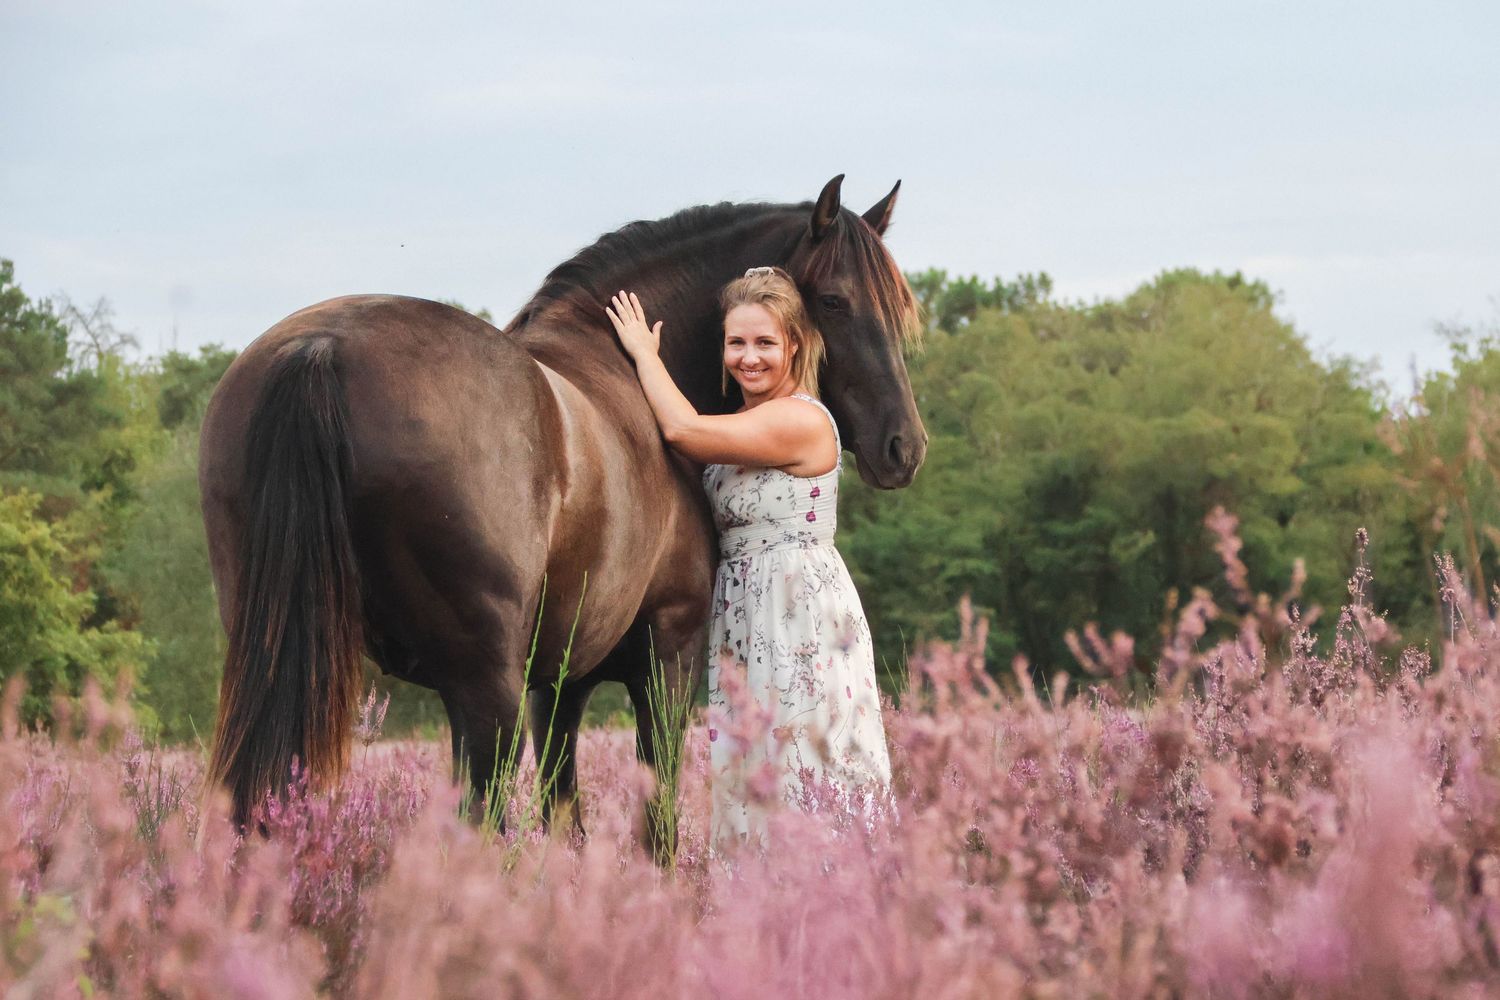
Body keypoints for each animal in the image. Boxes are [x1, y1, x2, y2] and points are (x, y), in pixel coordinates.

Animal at [198, 174, 928, 849]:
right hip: (481, 688)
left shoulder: (556, 685)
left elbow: (563, 814)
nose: (905, 446)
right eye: (832, 300)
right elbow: (656, 819)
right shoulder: (667, 656)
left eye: (897, 306)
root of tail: (321, 349)